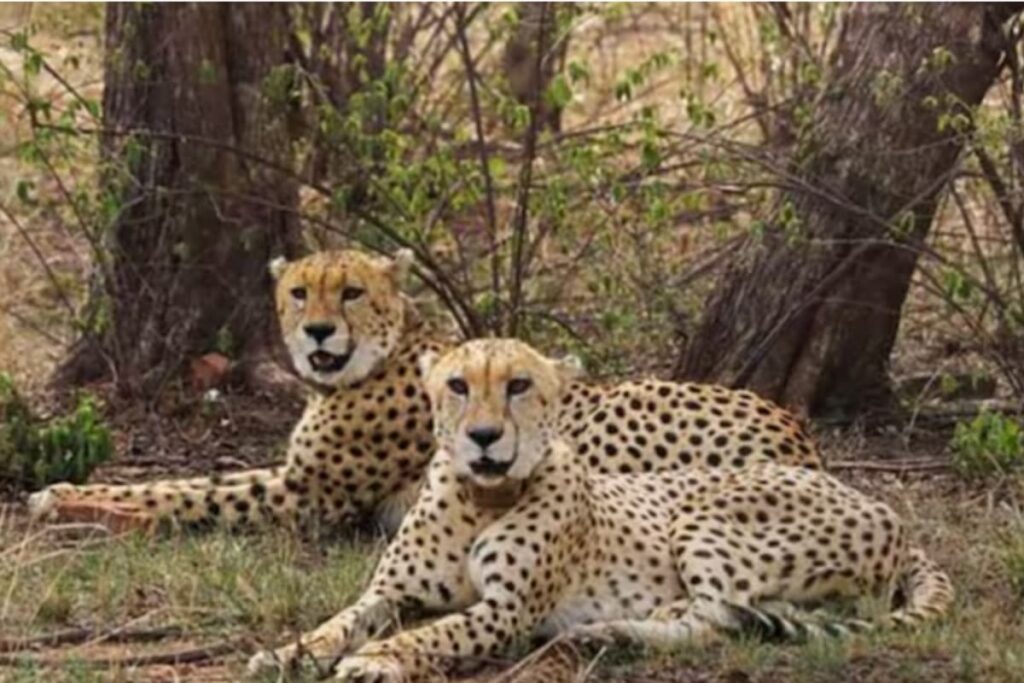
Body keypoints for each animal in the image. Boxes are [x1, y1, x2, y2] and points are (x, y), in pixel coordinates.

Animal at [29, 248, 822, 534]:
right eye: (298, 292)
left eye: (350, 292)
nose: (317, 332)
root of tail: (796, 431)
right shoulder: (295, 475)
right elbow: (190, 478)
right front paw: (68, 489)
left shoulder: (310, 497)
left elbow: (186, 494)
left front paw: (74, 502)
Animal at [248, 338, 953, 682]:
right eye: (457, 385)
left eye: (519, 385)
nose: (484, 437)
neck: (481, 498)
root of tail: (882, 507)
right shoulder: (390, 592)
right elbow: (340, 621)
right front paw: (288, 654)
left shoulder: (506, 611)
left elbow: (432, 632)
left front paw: (376, 660)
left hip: (702, 514)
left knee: (718, 618)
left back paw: (612, 629)